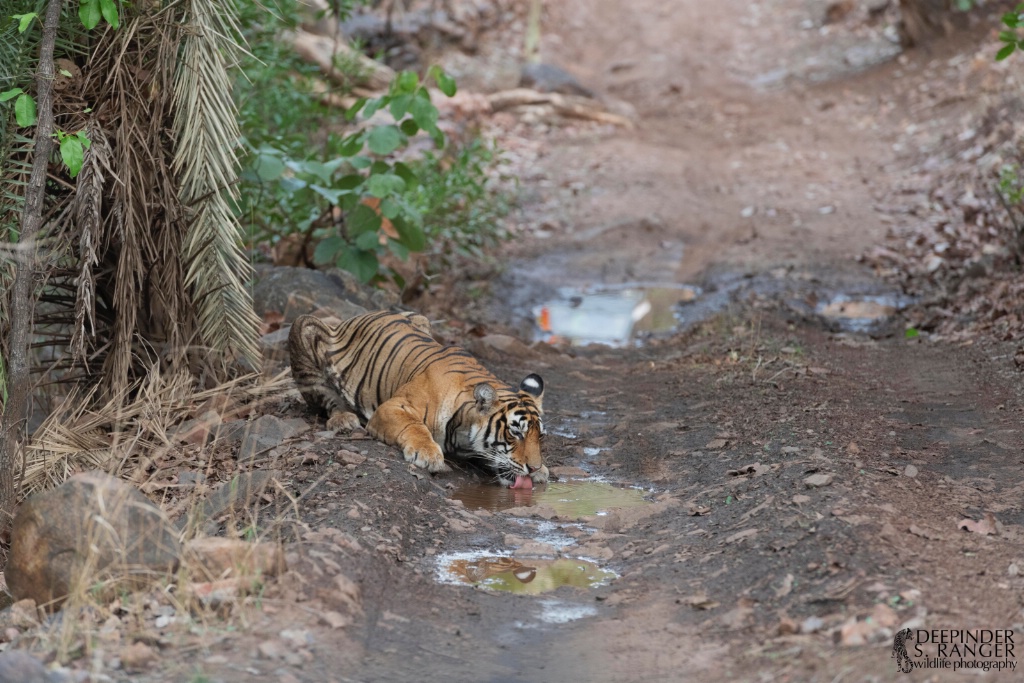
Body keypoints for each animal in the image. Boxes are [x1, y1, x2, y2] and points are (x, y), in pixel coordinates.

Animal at [288, 313, 548, 489]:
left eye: (540, 436)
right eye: (516, 433)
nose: (534, 467)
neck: (462, 431)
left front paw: (542, 471)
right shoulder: (392, 406)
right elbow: (414, 426)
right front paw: (428, 454)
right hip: (303, 326)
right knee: (325, 397)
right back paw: (343, 418)